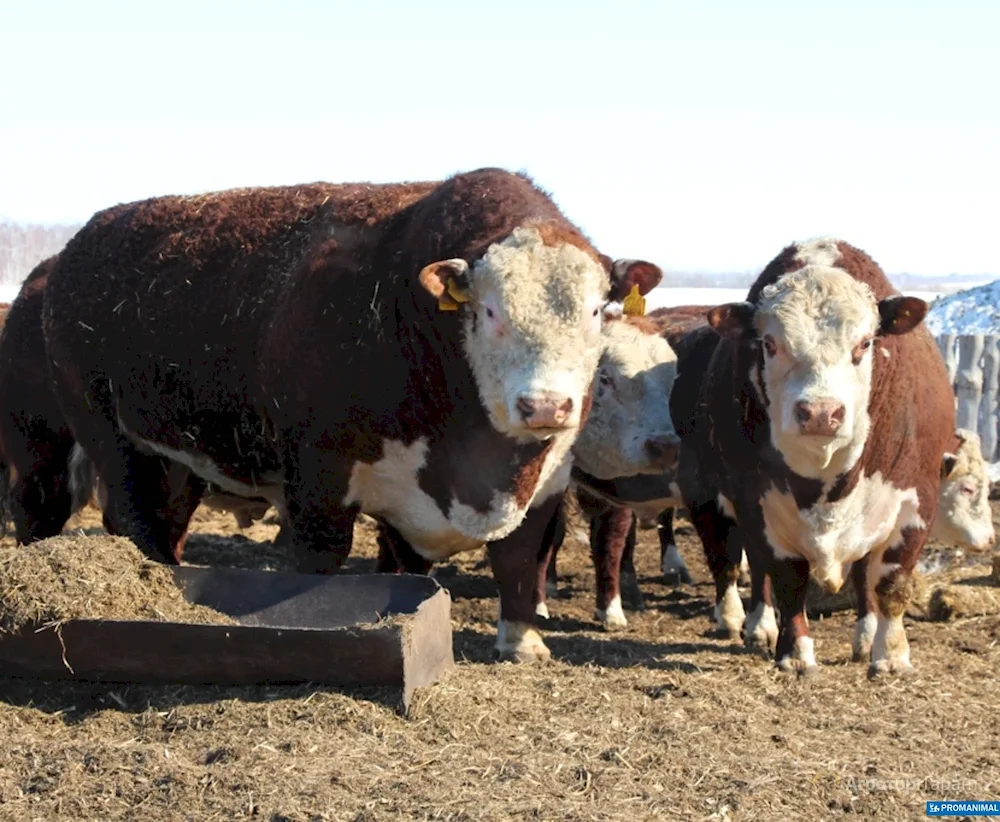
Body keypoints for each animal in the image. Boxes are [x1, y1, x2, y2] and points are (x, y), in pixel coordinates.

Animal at [41, 171, 664, 668]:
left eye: (595, 312)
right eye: (490, 311)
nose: (546, 406)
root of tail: (81, 244)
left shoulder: (546, 479)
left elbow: (517, 558)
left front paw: (523, 643)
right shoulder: (318, 474)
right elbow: (320, 560)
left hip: (175, 459)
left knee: (164, 522)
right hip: (103, 428)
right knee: (133, 515)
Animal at [672, 237, 952, 676]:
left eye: (865, 343)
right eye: (770, 344)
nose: (821, 412)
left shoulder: (917, 497)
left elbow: (891, 581)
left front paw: (890, 654)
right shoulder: (757, 500)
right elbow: (787, 579)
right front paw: (795, 653)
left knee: (862, 574)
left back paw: (864, 636)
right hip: (706, 490)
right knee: (740, 563)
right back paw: (751, 624)